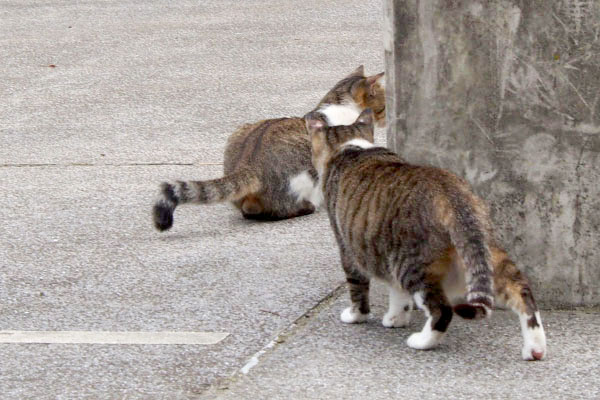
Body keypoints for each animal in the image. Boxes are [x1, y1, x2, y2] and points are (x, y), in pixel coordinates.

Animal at [308, 108, 548, 360]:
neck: (352, 147)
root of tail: (451, 195)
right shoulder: (384, 250)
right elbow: (397, 294)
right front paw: (396, 318)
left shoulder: (348, 247)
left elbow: (358, 287)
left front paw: (356, 316)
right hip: (485, 252)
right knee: (522, 292)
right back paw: (535, 348)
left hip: (412, 264)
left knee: (442, 310)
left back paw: (422, 341)